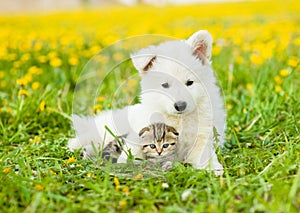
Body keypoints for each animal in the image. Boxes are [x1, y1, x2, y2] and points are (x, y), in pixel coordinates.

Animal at [67, 30, 225, 175]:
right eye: (165, 85)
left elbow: (204, 153)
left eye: (190, 82)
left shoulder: (202, 136)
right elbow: (134, 149)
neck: (178, 119)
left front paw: (213, 168)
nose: (180, 105)